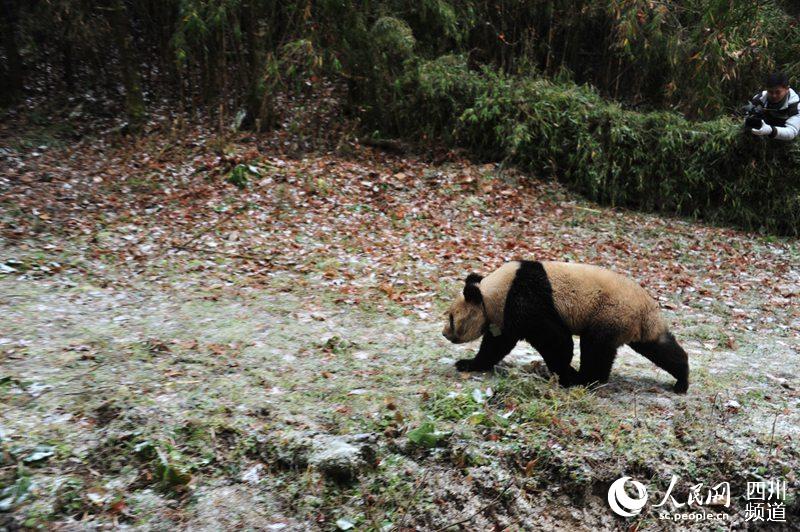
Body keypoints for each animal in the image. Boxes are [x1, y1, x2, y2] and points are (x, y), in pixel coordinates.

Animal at [440, 260, 692, 392]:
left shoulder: (525, 299)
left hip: (610, 312)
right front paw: (469, 363)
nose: (444, 333)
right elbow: (496, 344)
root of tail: (646, 309)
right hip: (635, 324)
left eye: (451, 318)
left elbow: (555, 339)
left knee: (596, 347)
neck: (491, 292)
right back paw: (682, 380)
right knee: (659, 347)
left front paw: (564, 375)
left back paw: (586, 379)